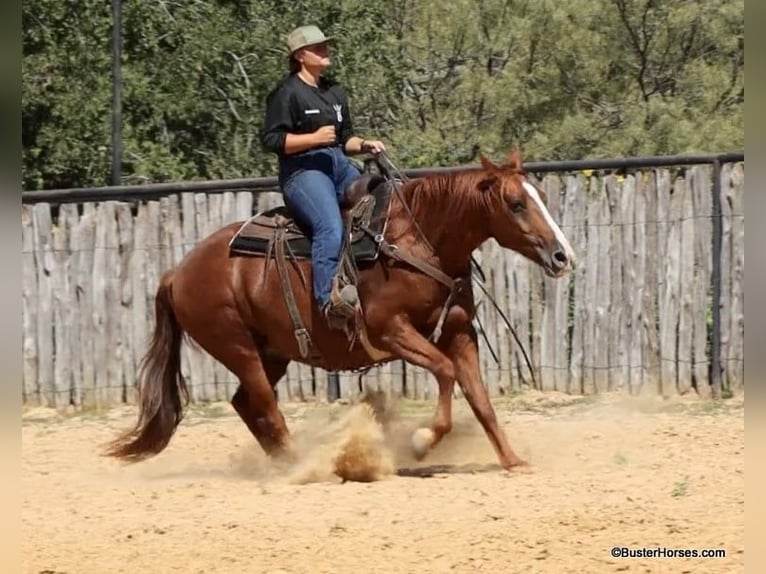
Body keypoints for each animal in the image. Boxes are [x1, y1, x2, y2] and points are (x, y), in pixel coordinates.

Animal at [105, 147, 576, 472]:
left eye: (539, 195)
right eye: (516, 203)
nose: (562, 256)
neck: (417, 241)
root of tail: (177, 272)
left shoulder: (461, 331)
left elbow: (480, 398)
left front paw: (512, 459)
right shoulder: (391, 331)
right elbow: (444, 372)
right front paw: (423, 440)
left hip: (271, 351)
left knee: (245, 403)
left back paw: (285, 462)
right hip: (236, 345)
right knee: (265, 405)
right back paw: (301, 467)